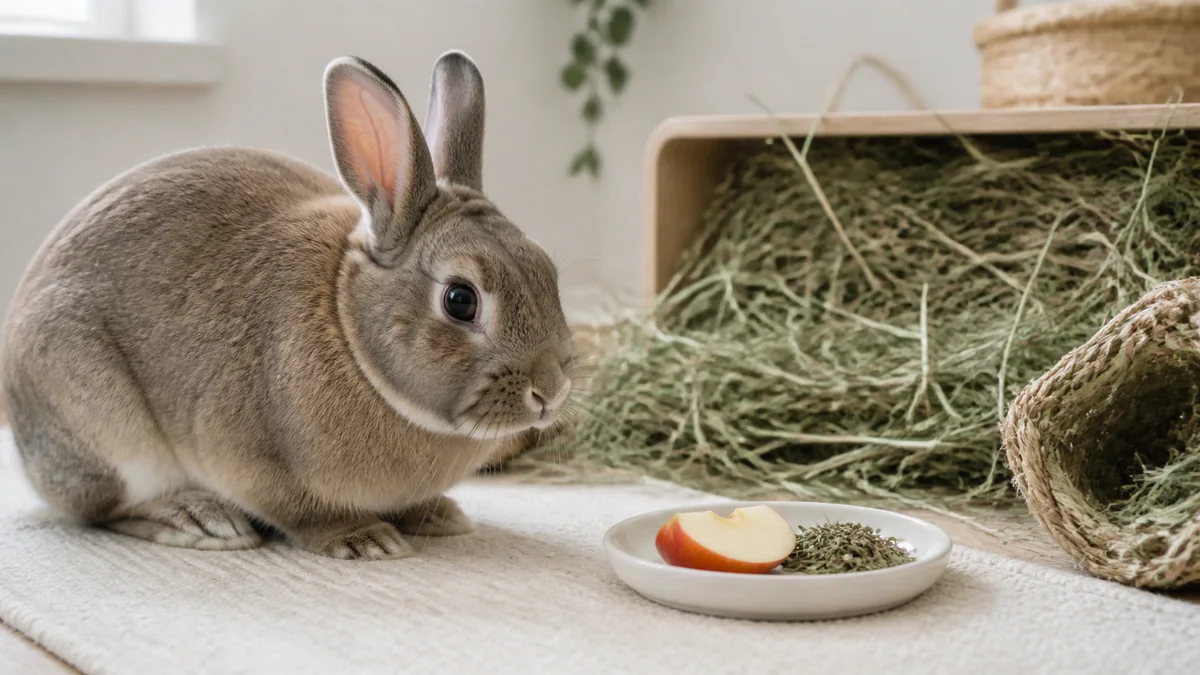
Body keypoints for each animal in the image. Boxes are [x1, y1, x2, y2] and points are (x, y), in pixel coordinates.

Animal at [0, 51, 575, 560]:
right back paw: (198, 520)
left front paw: (438, 515)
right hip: (105, 429)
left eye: (548, 271)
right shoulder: (251, 460)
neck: (350, 329)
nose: (550, 390)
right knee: (104, 508)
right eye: (460, 300)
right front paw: (365, 540)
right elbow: (304, 513)